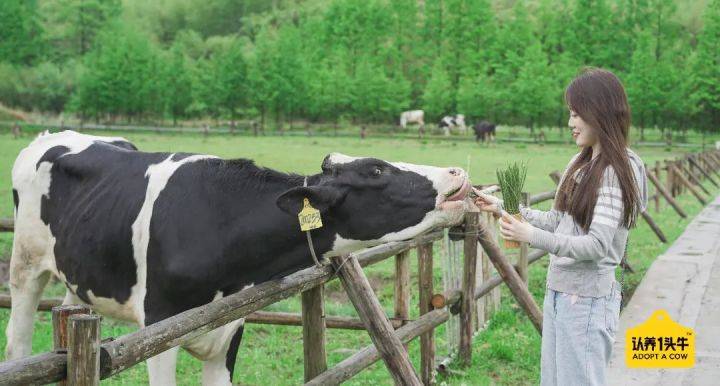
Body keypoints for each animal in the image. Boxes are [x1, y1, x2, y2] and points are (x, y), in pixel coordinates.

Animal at [9, 130, 472, 386]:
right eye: (376, 171)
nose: (457, 171)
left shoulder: (230, 328)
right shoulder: (157, 330)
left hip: (78, 279)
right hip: (25, 266)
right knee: (17, 342)